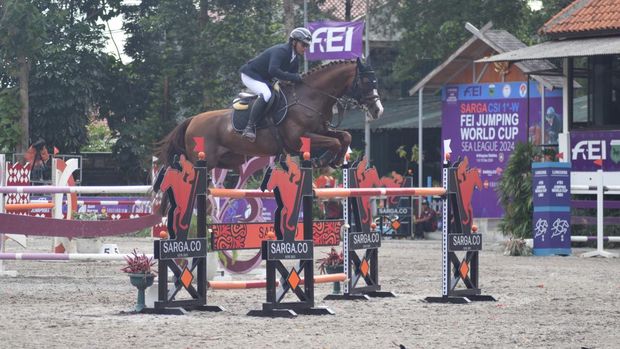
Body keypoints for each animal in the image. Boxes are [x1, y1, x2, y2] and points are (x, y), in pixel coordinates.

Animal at [156, 58, 382, 170]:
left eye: (375, 81)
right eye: (366, 82)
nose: (378, 110)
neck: (311, 97)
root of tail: (192, 120)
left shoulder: (321, 130)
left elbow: (345, 136)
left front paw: (335, 160)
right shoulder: (299, 139)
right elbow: (334, 142)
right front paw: (323, 161)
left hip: (225, 160)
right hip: (202, 161)